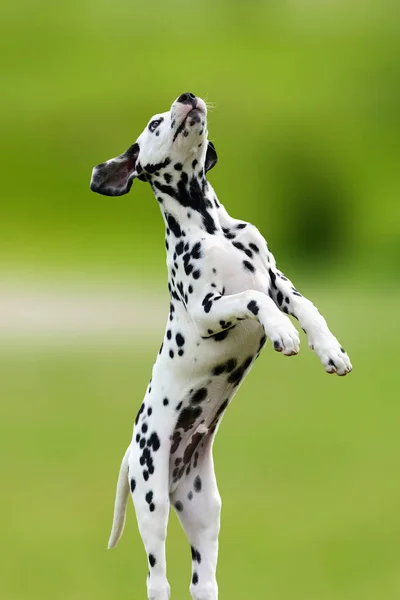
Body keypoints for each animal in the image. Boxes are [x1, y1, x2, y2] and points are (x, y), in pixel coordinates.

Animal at [91, 92, 354, 600]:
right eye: (154, 123)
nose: (187, 96)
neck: (211, 227)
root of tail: (135, 451)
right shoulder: (208, 307)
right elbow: (251, 300)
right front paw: (282, 333)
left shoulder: (278, 281)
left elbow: (308, 307)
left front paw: (330, 350)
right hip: (151, 503)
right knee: (157, 579)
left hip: (204, 514)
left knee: (203, 582)